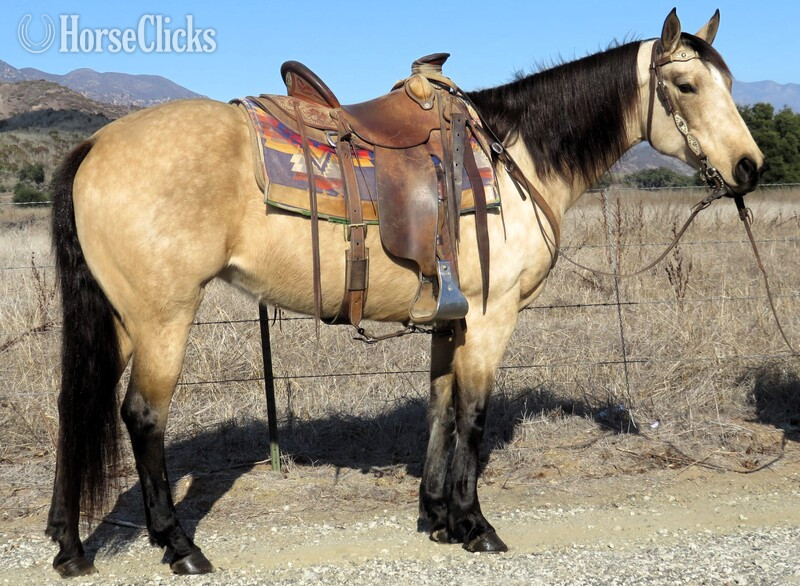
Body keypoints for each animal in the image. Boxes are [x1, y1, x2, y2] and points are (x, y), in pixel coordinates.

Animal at [46, 8, 763, 576]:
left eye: (728, 83)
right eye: (686, 85)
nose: (749, 167)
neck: (516, 158)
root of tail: (96, 143)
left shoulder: (452, 321)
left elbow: (440, 409)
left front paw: (438, 517)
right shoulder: (491, 318)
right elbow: (473, 416)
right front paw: (476, 526)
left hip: (120, 319)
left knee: (77, 406)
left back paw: (70, 546)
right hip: (163, 318)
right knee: (143, 417)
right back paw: (179, 546)